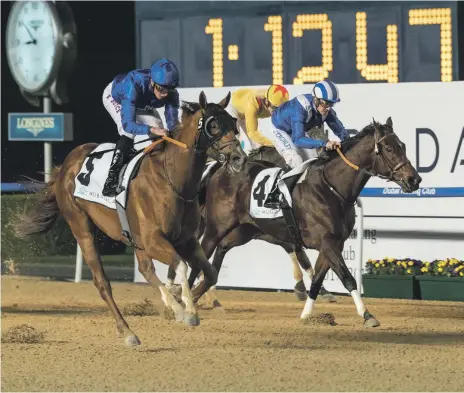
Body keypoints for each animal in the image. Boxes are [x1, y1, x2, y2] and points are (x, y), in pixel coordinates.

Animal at [13, 90, 246, 344]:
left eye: (233, 123)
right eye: (213, 125)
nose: (239, 158)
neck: (172, 180)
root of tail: (65, 166)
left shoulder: (186, 240)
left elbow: (210, 273)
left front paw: (184, 303)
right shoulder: (154, 240)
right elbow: (182, 266)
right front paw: (188, 312)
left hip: (134, 239)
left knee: (145, 268)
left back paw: (169, 306)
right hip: (82, 228)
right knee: (102, 281)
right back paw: (128, 331)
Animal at [188, 118, 420, 326]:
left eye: (403, 146)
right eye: (389, 149)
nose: (414, 179)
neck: (331, 187)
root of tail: (221, 168)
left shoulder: (334, 244)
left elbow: (317, 280)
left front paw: (307, 315)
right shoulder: (327, 242)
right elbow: (347, 277)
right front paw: (367, 315)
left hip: (243, 231)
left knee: (218, 255)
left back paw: (199, 295)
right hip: (216, 228)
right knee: (200, 256)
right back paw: (186, 299)